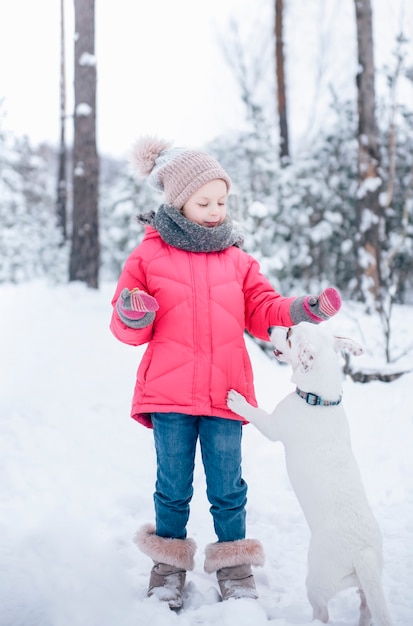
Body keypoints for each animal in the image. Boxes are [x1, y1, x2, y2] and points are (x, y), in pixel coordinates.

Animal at [227, 322, 392, 624]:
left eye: (290, 334)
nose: (270, 326)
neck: (320, 400)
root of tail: (363, 553)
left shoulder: (273, 426)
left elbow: (257, 414)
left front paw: (238, 401)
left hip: (316, 581)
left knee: (322, 613)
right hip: (366, 583)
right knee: (366, 606)